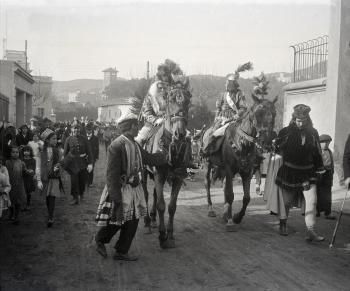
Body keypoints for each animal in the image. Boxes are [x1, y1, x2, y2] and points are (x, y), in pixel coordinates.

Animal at [142, 77, 191, 249]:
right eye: (171, 99)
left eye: (188, 100)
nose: (180, 133)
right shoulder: (159, 175)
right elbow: (161, 206)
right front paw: (162, 235)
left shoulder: (178, 178)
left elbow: (171, 206)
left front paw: (170, 234)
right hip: (145, 174)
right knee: (146, 193)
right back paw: (148, 220)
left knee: (155, 194)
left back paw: (153, 218)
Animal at [202, 94, 276, 232]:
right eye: (258, 113)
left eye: (274, 113)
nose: (266, 140)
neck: (242, 142)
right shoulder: (230, 170)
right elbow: (230, 194)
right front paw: (230, 221)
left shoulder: (246, 171)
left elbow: (246, 198)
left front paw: (236, 217)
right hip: (208, 164)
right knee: (207, 184)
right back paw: (211, 209)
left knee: (224, 187)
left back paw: (225, 213)